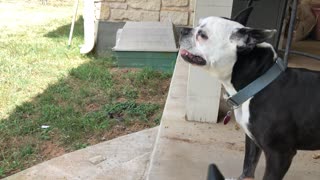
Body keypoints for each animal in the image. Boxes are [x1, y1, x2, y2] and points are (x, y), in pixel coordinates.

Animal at [180, 7, 320, 180]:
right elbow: (248, 166)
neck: (258, 84)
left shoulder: (279, 155)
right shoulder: (252, 141)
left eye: (203, 35)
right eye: (197, 25)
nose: (183, 30)